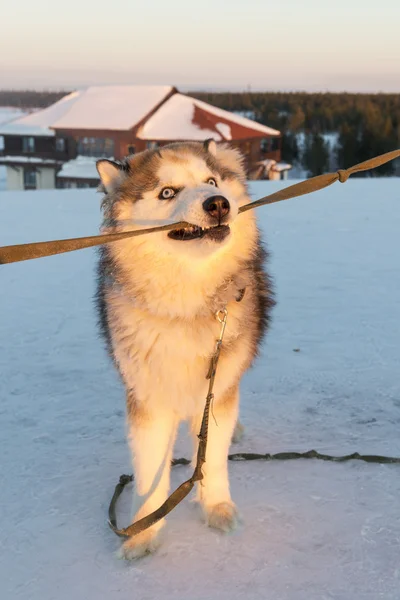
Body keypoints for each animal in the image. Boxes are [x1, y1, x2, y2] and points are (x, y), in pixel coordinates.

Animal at [95, 139, 274, 556]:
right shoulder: (147, 397)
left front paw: (217, 507)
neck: (186, 304)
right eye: (167, 192)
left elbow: (213, 455)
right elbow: (148, 471)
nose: (218, 203)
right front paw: (143, 532)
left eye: (211, 181)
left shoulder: (217, 387)